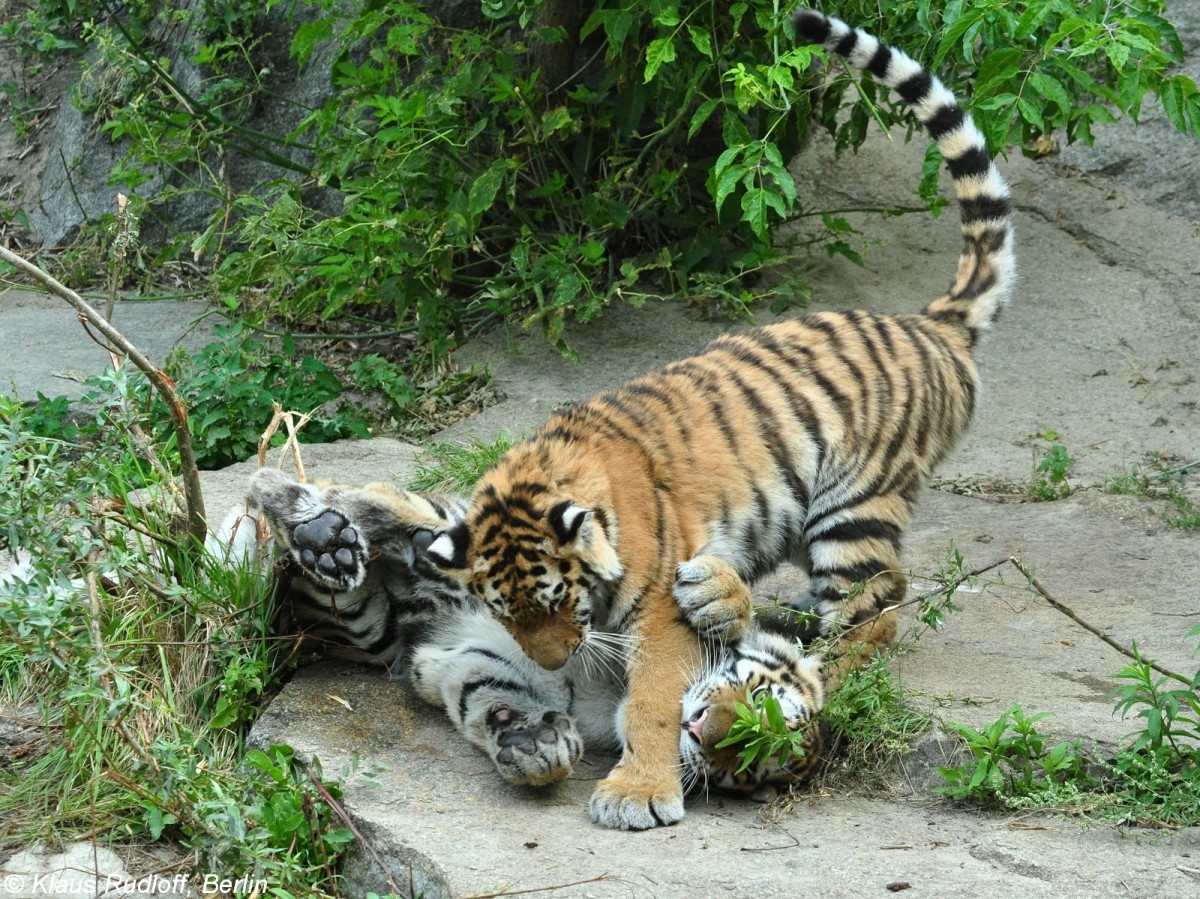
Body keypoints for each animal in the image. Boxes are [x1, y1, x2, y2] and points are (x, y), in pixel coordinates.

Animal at [211, 465, 830, 796]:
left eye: (742, 767)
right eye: (757, 699)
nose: (704, 734)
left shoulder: (466, 659)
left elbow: (484, 691)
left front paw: (532, 742)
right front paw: (717, 597)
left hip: (366, 627)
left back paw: (322, 541)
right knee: (381, 503)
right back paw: (307, 509)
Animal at [422, 7, 1012, 830]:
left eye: (556, 600)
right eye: (503, 611)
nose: (554, 664)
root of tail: (932, 324)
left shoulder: (656, 615)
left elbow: (654, 698)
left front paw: (638, 792)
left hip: (853, 505)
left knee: (878, 608)